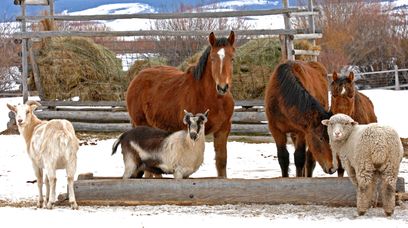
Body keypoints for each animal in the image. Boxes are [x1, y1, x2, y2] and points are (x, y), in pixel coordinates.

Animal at [126, 31, 236, 177]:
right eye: (212, 58)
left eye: (232, 58)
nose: (222, 87)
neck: (212, 99)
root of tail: (136, 78)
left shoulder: (223, 130)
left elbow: (221, 162)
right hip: (141, 124)